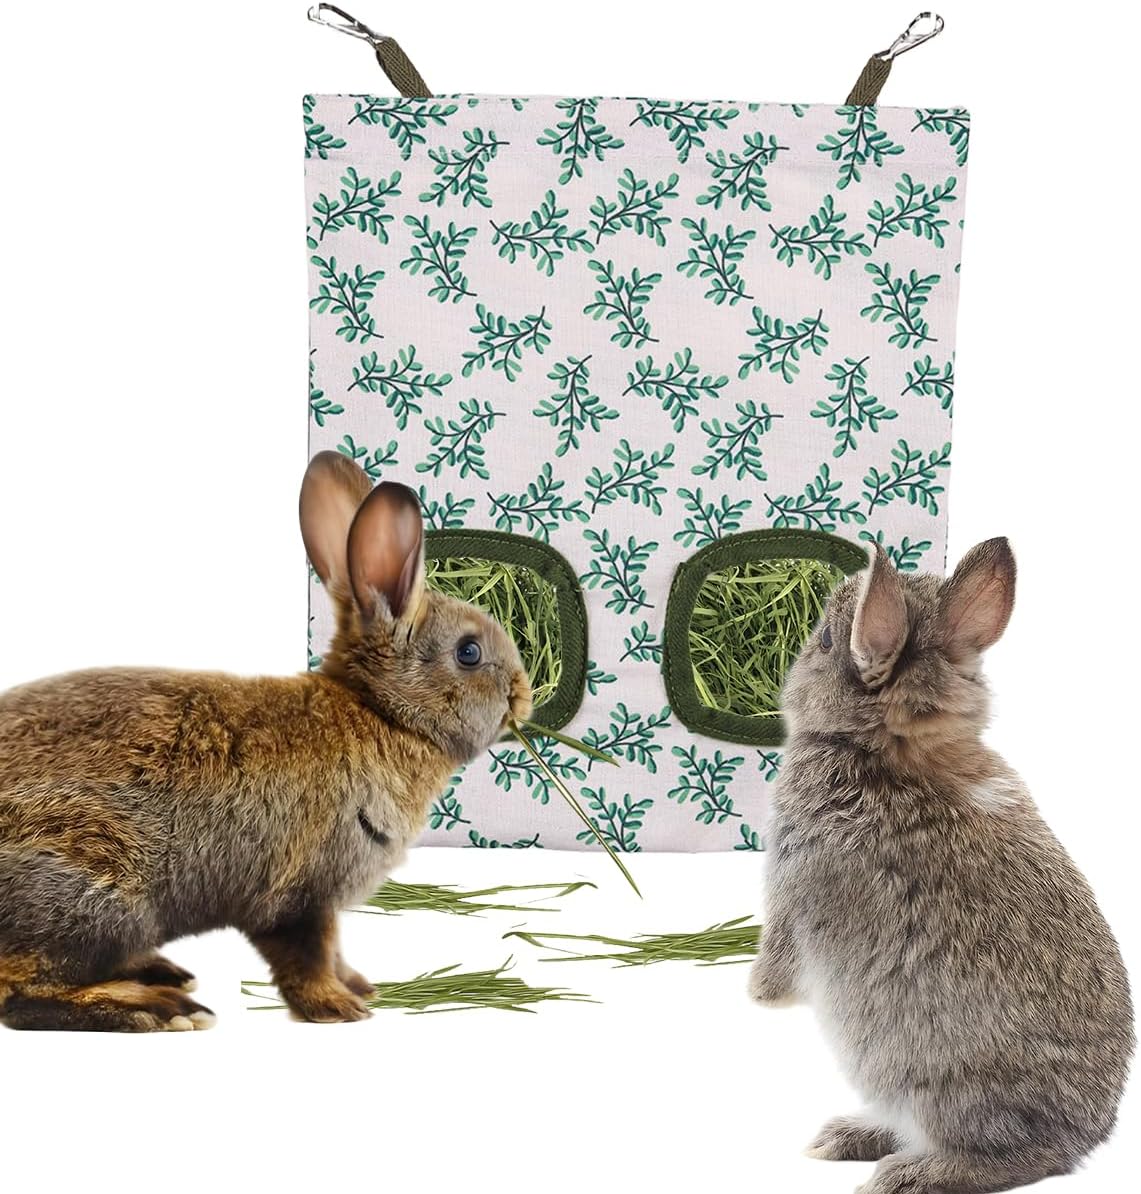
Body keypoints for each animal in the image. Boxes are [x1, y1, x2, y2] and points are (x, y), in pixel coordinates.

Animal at [0, 451, 532, 1031]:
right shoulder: (300, 892)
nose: (523, 695)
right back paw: (161, 1008)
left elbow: (333, 950)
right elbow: (307, 954)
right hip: (92, 892)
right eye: (469, 653)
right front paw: (338, 1008)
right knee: (20, 994)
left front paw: (357, 986)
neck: (378, 712)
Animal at [748, 538, 1133, 1194]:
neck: (888, 751)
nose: (791, 665)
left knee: (1013, 1158)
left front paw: (756, 993)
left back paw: (905, 1174)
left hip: (929, 1083)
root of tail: (1083, 1134)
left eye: (824, 641)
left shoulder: (792, 892)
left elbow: (778, 967)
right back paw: (846, 1139)